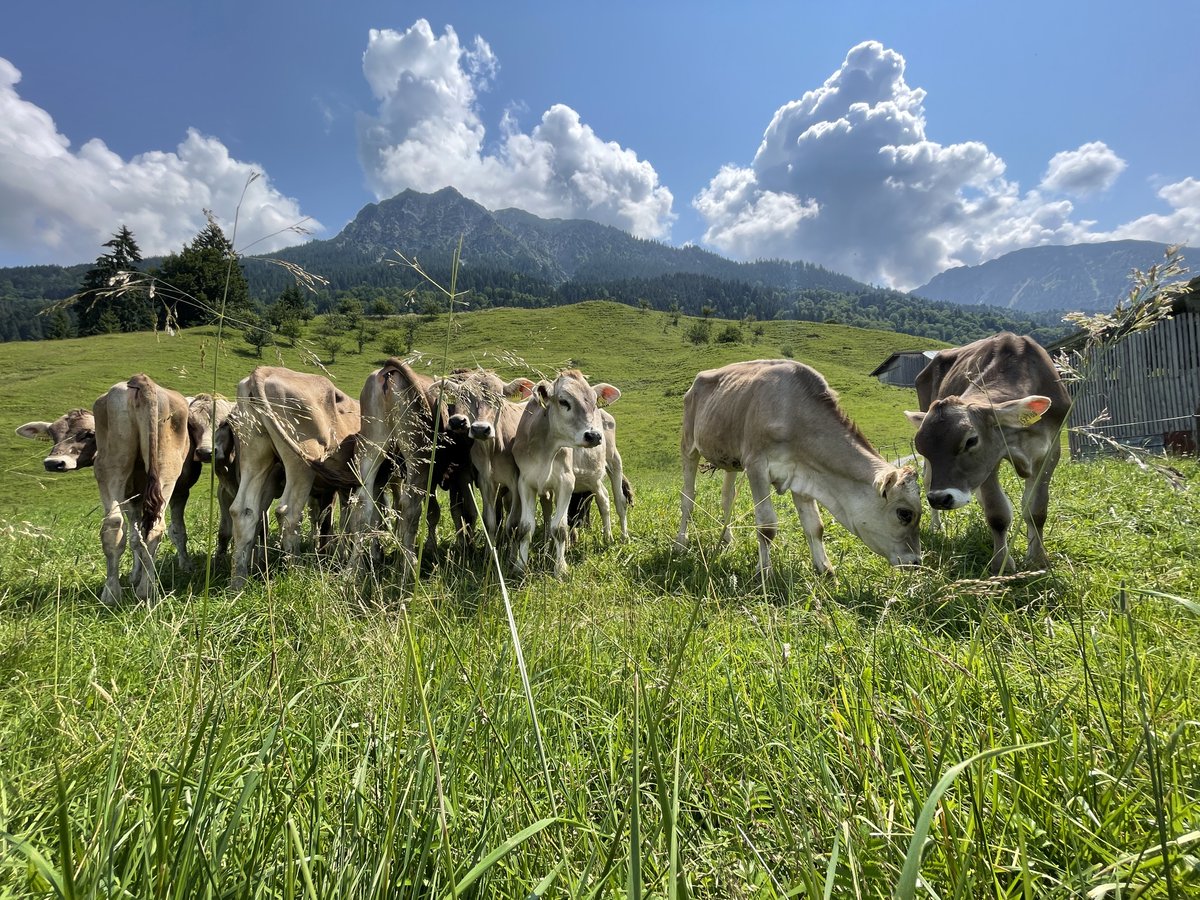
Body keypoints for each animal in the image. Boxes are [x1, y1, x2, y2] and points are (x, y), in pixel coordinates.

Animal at [92, 374, 193, 607]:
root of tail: (141, 380)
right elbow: (139, 537)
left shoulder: (133, 499)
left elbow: (135, 538)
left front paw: (134, 575)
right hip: (163, 469)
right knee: (129, 526)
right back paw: (130, 591)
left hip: (108, 468)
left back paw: (126, 592)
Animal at [228, 367, 360, 592]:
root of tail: (264, 371)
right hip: (302, 460)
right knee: (289, 513)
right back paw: (295, 571)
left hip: (255, 454)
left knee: (244, 511)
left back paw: (239, 581)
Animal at [508, 372, 619, 578]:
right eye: (563, 401)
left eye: (594, 402)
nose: (594, 436)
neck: (545, 450)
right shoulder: (525, 483)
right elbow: (526, 527)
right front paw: (520, 566)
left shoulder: (566, 482)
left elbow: (559, 528)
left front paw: (560, 568)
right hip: (588, 479)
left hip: (606, 467)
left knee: (610, 500)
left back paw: (612, 537)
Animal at [676, 355, 916, 573]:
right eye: (905, 513)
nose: (916, 561)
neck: (794, 412)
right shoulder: (756, 466)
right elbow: (766, 526)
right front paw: (764, 573)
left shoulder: (803, 471)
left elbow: (815, 526)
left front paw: (826, 571)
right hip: (689, 445)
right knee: (688, 497)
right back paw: (680, 542)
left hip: (731, 457)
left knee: (727, 497)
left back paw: (728, 539)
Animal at [902, 328, 1070, 571]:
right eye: (921, 448)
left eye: (971, 440)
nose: (940, 499)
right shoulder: (989, 461)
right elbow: (997, 513)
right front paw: (1002, 564)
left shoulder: (1050, 451)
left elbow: (1036, 509)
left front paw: (1038, 559)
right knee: (926, 480)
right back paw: (936, 527)